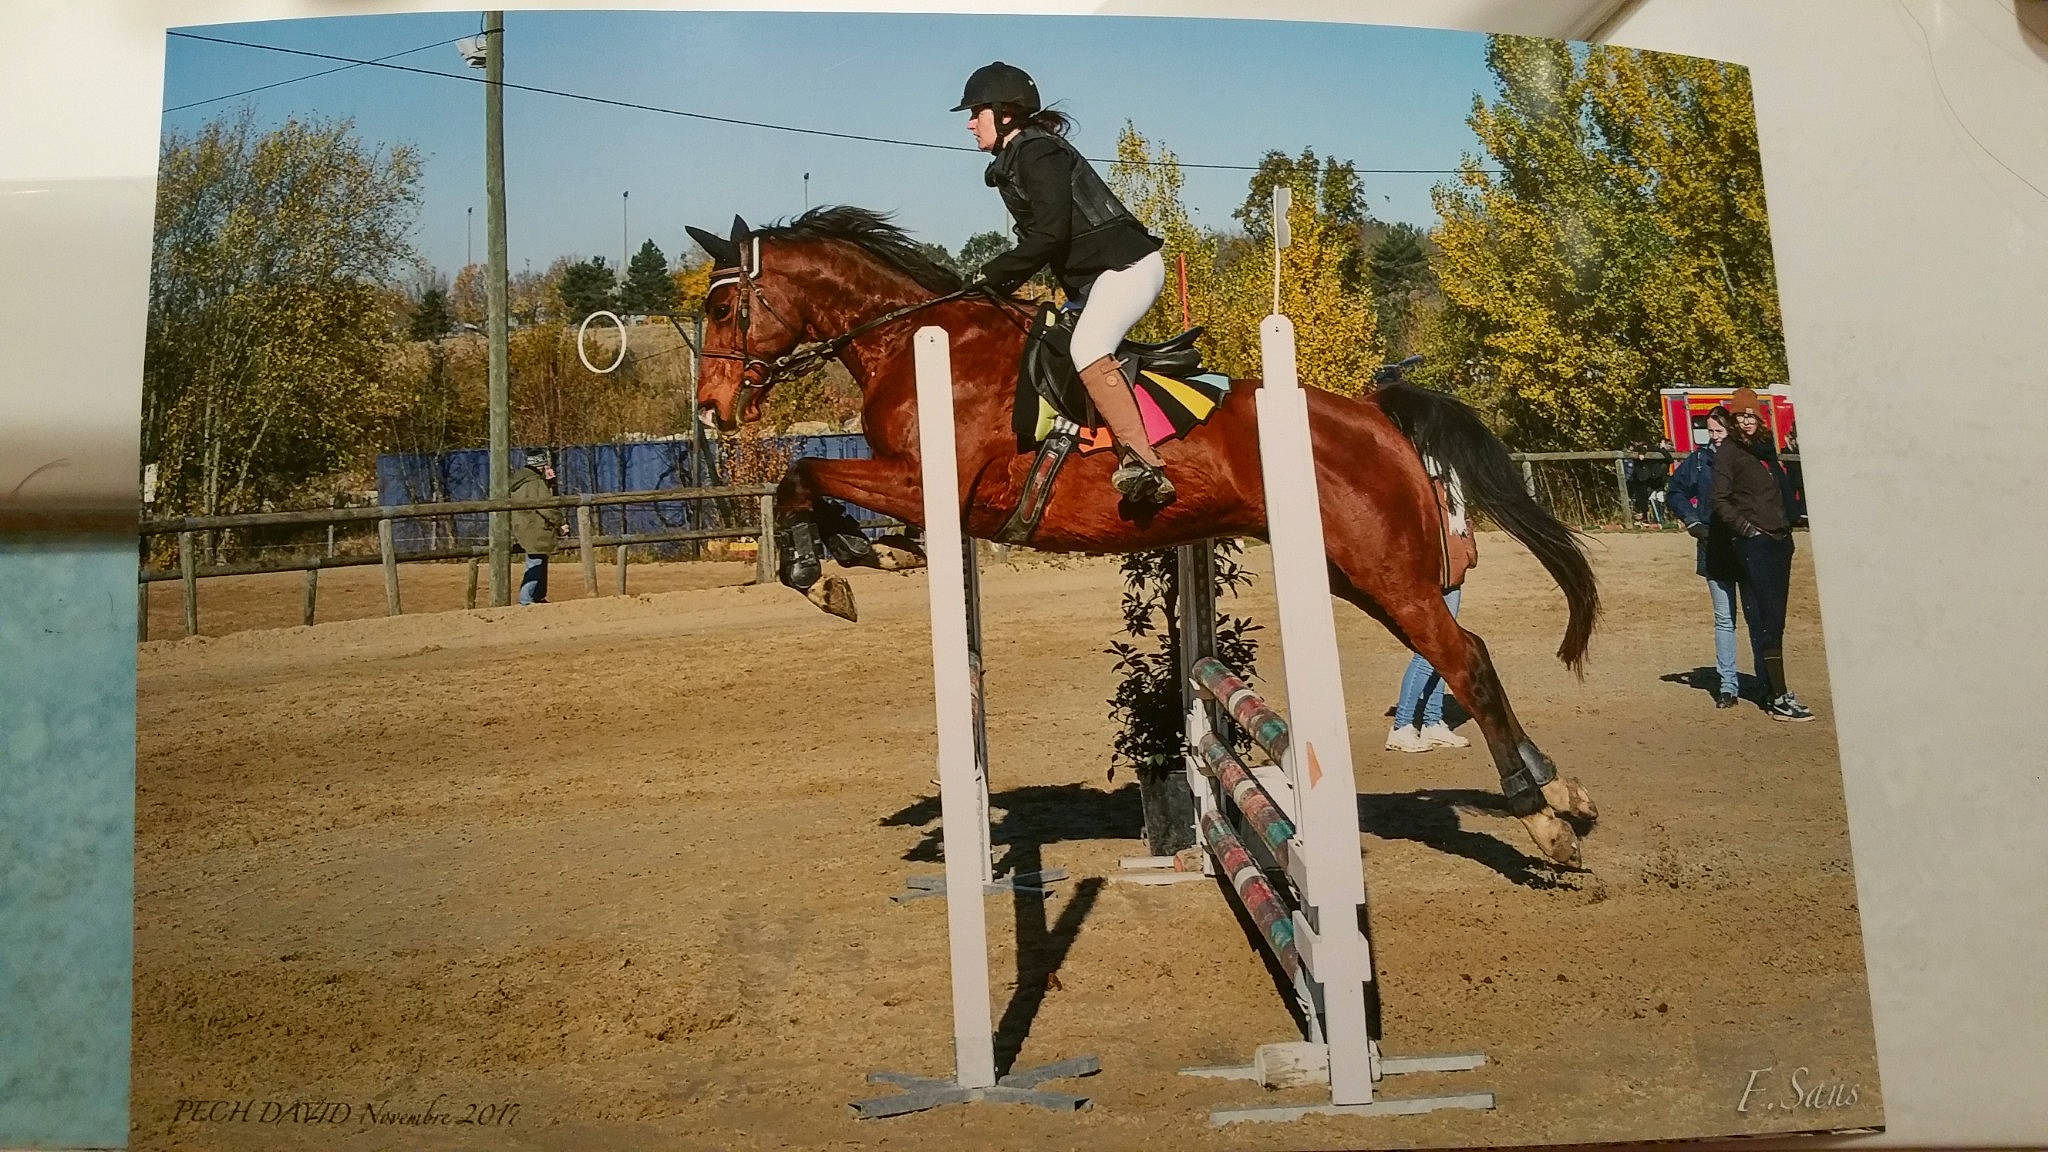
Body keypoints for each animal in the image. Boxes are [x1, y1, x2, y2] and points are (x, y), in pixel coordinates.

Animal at [685, 207, 1601, 868]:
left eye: (725, 306)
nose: (711, 411)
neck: (914, 342)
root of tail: (1375, 415)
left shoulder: (928, 483)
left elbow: (803, 471)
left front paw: (823, 570)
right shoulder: (912, 487)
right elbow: (811, 482)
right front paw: (850, 555)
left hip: (1386, 573)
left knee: (1464, 659)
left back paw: (1542, 819)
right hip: (1356, 573)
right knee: (1467, 654)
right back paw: (1564, 794)